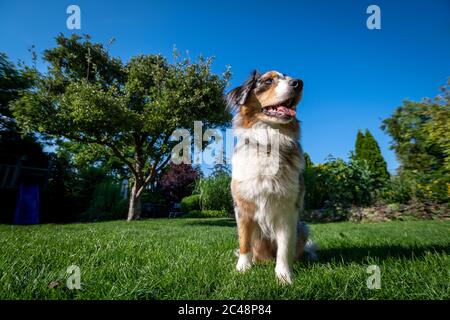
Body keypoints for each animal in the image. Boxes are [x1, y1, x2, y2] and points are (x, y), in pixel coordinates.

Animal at [225, 70, 316, 284]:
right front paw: (242, 270)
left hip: (303, 227)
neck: (268, 143)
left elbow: (284, 248)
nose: (299, 83)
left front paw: (284, 277)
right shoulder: (242, 208)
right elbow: (244, 242)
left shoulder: (288, 210)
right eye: (268, 81)